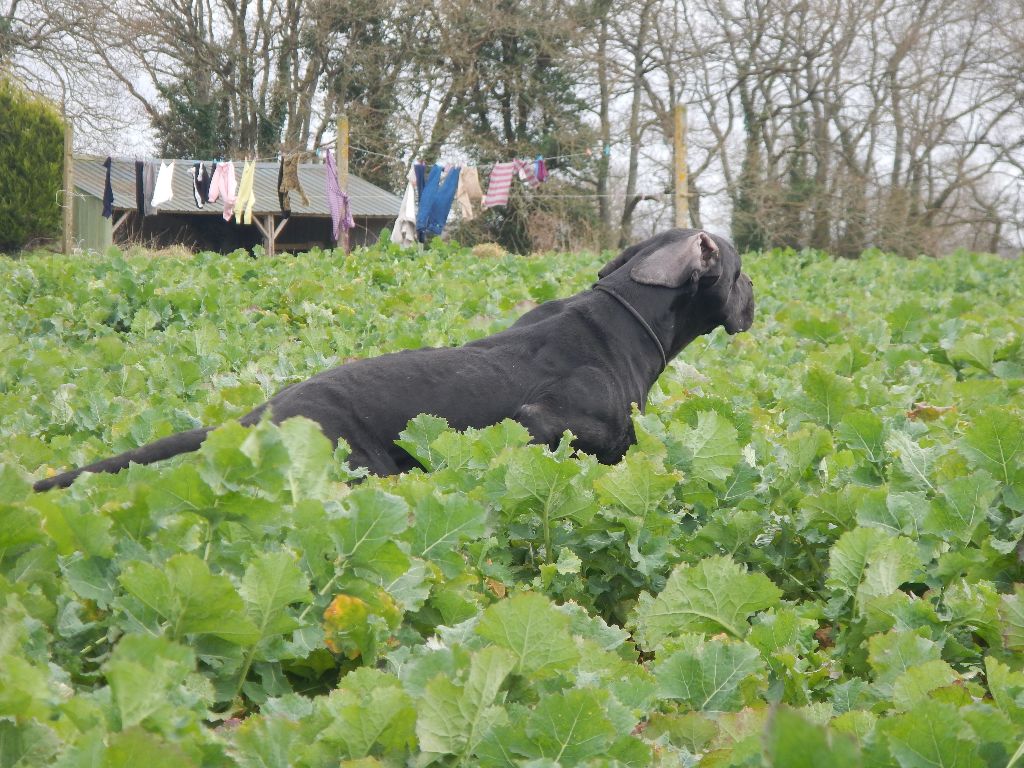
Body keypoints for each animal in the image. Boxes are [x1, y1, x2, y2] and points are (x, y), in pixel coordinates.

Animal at [34, 230, 753, 493]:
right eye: (742, 270)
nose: (755, 300)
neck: (624, 320)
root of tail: (260, 412)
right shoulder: (545, 421)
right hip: (362, 468)